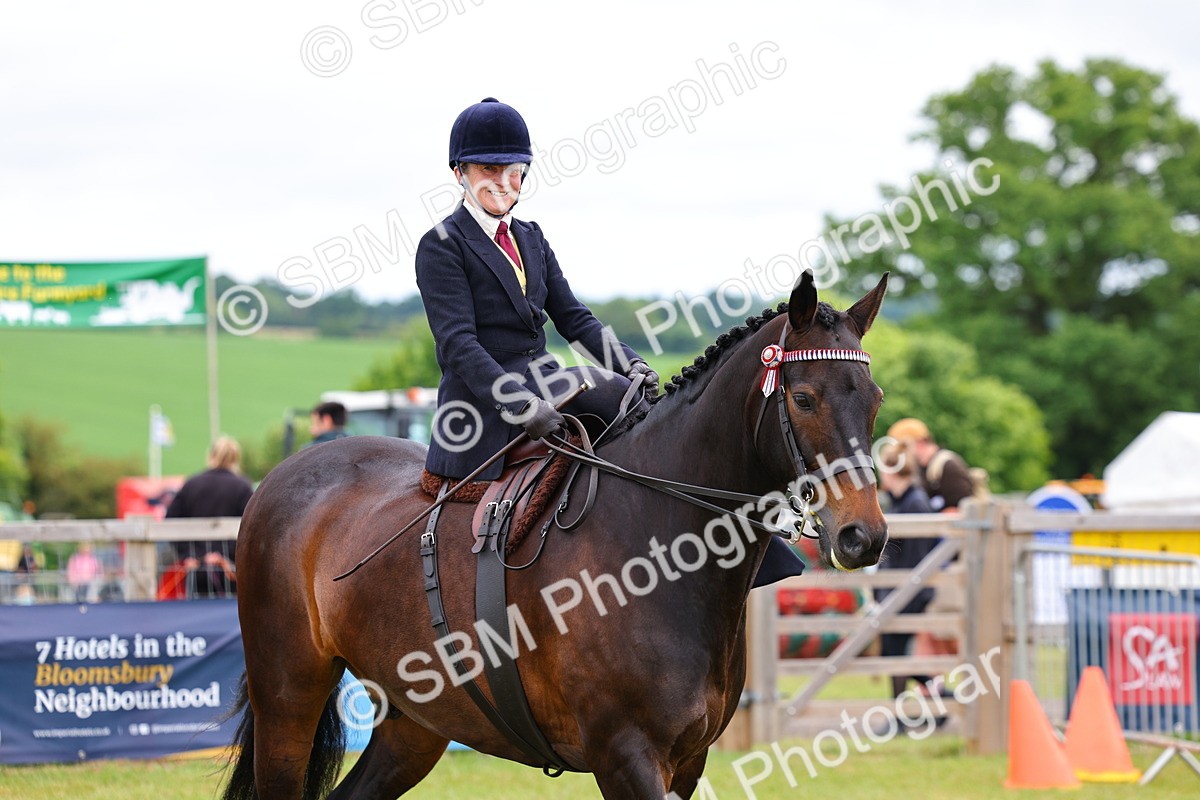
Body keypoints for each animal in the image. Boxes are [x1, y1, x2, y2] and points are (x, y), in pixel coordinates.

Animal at [222, 271, 890, 799]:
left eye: (876, 399)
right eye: (803, 398)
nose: (865, 536)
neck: (657, 543)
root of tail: (280, 476)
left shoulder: (688, 761)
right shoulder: (626, 755)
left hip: (415, 724)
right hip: (288, 701)